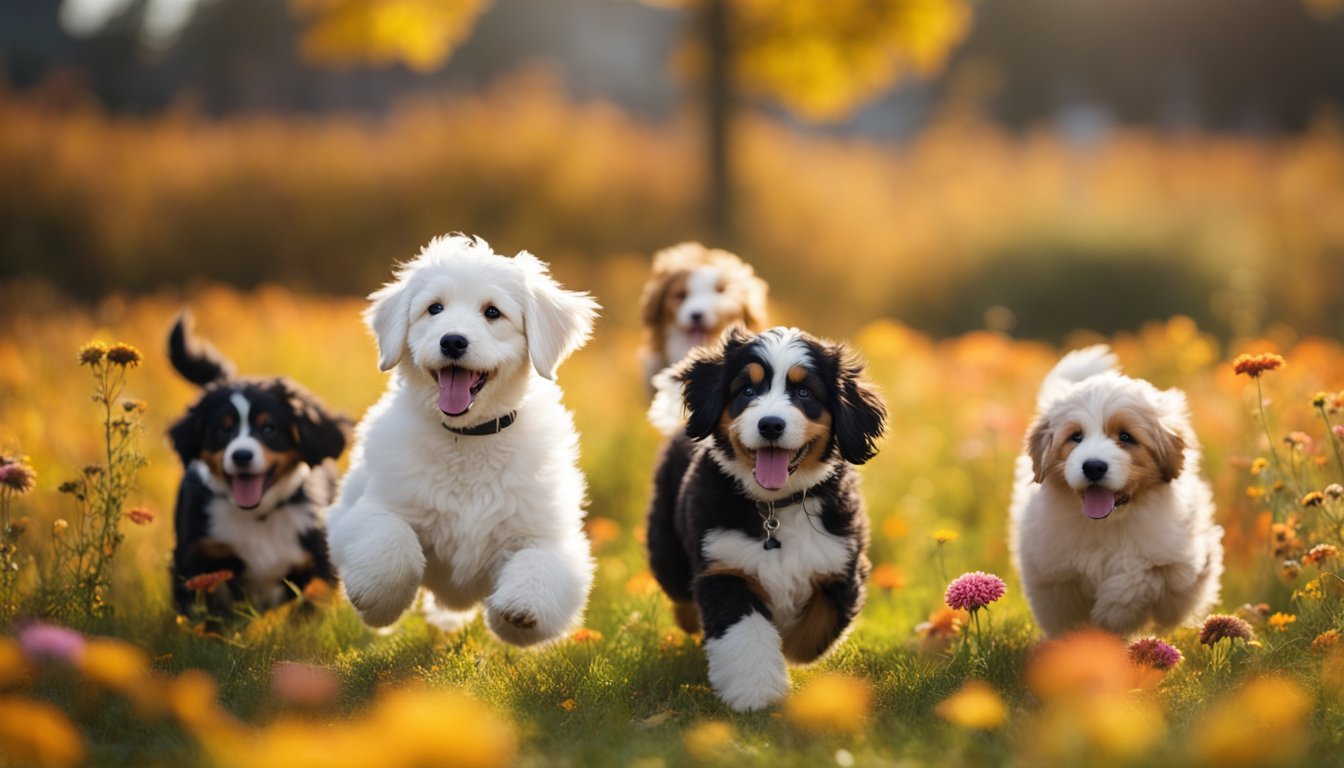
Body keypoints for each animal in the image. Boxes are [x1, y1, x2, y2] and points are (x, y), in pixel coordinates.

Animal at [164, 312, 346, 618]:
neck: (259, 517)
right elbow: (198, 617)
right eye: (223, 430)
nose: (241, 456)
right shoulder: (195, 558)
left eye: (269, 429)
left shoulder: (317, 562)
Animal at [327, 235, 602, 648]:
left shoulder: (549, 537)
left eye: (492, 312)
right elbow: (392, 542)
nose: (453, 341)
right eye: (434, 308)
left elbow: (539, 568)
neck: (468, 439)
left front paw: (521, 609)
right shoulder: (364, 512)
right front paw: (378, 599)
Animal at [645, 325, 887, 715]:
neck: (776, 508)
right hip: (666, 548)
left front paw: (786, 649)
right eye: (747, 390)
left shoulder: (841, 564)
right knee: (680, 593)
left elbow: (812, 635)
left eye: (804, 392)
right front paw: (756, 693)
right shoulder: (724, 567)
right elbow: (747, 633)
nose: (771, 425)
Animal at [1010, 344, 1225, 640]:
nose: (1093, 466)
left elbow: (1137, 579)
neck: (1107, 526)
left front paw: (1112, 615)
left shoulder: (1175, 561)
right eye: (1075, 437)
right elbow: (1067, 617)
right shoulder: (1052, 572)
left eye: (1125, 437)